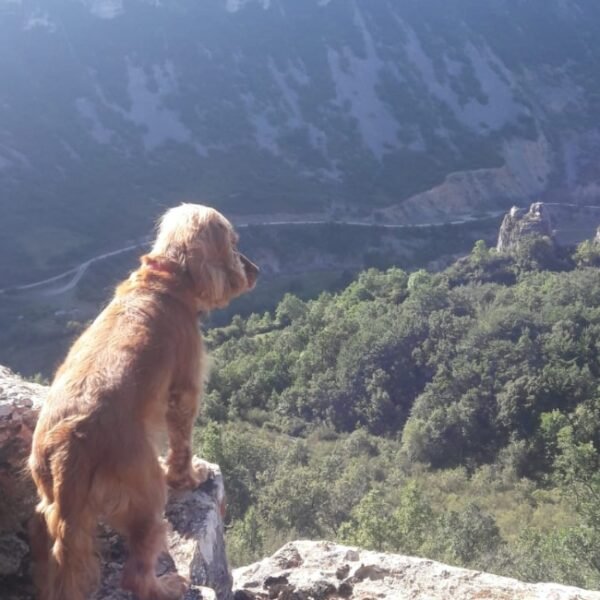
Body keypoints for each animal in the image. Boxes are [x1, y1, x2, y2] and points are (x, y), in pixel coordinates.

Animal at [28, 204, 258, 596]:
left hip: (48, 506)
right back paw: (169, 586)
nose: (254, 270)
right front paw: (191, 476)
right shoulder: (183, 390)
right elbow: (182, 446)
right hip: (147, 495)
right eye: (234, 242)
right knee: (135, 573)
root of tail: (68, 444)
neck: (163, 280)